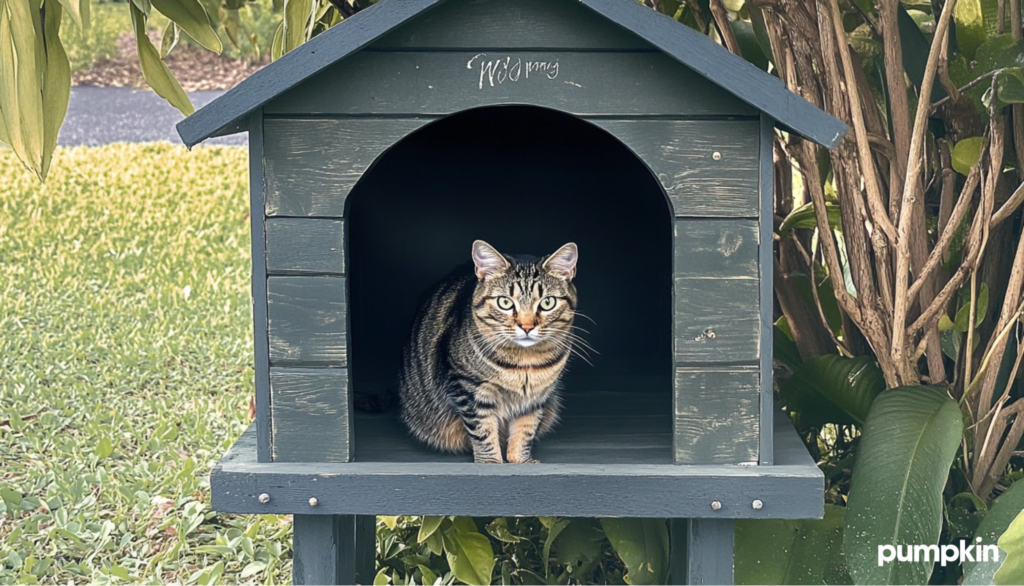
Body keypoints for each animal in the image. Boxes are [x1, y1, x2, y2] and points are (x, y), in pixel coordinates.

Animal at [397, 237, 581, 463]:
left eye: (547, 303)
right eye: (505, 302)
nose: (527, 326)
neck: (525, 363)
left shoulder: (536, 399)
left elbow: (525, 432)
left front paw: (522, 461)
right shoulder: (468, 389)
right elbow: (482, 432)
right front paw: (490, 463)